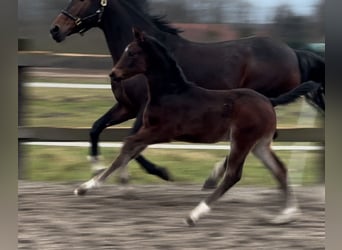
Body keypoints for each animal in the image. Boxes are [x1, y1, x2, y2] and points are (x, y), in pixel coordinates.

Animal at [49, 0, 324, 184]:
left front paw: (160, 172)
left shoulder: (144, 108)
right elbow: (96, 128)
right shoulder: (126, 107)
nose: (55, 29)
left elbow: (132, 141)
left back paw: (214, 176)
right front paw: (97, 169)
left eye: (83, 0)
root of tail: (293, 52)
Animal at [73, 28, 320, 226]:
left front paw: (88, 186)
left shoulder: (161, 132)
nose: (113, 74)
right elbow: (129, 150)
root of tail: (269, 100)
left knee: (233, 175)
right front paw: (105, 185)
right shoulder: (149, 130)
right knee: (280, 170)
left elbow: (127, 145)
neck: (171, 92)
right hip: (259, 144)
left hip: (242, 140)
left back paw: (194, 214)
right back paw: (286, 215)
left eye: (132, 52)